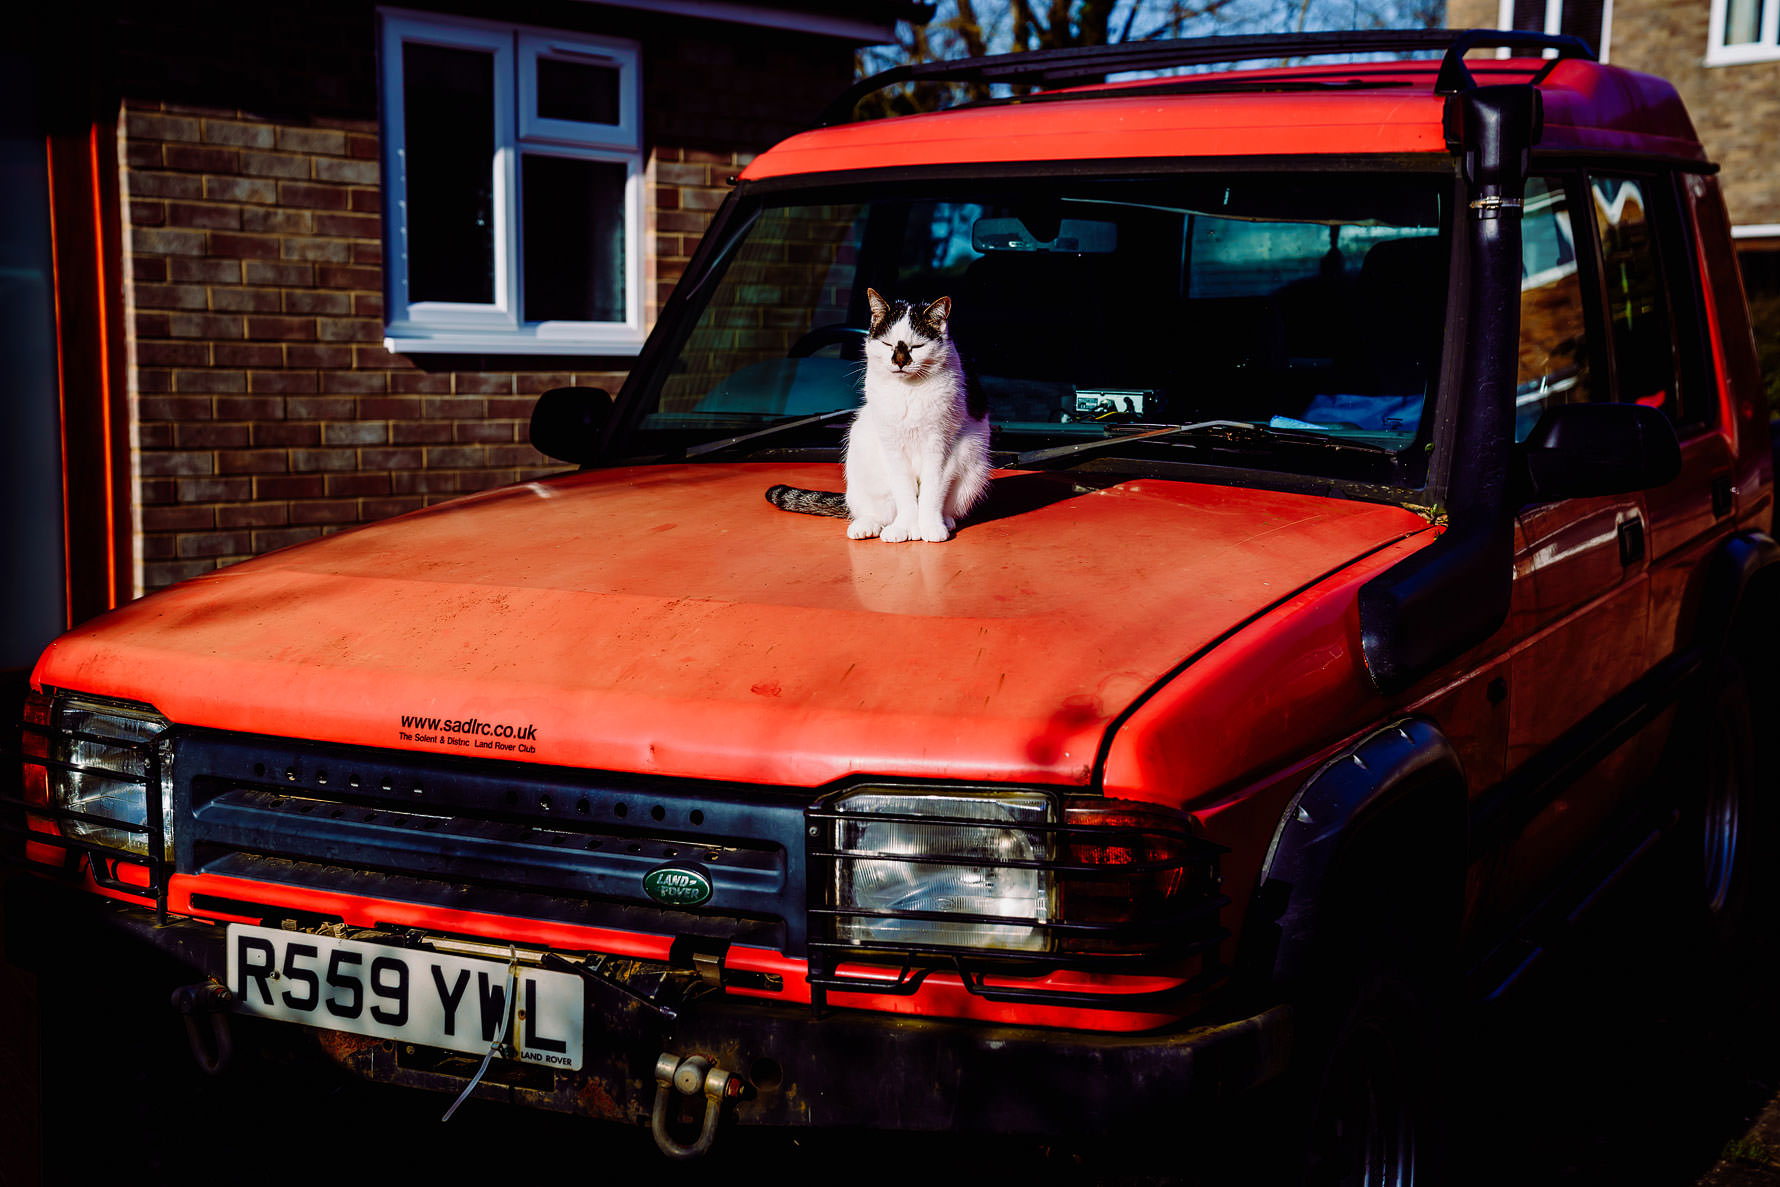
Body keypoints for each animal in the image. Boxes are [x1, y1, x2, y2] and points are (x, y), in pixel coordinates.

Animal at [765, 290, 989, 544]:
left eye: (917, 346)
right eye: (887, 344)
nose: (899, 361)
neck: (907, 391)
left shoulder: (940, 447)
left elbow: (932, 491)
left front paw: (930, 526)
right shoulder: (892, 446)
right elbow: (904, 492)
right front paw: (905, 527)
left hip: (973, 467)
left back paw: (945, 522)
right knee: (877, 513)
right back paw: (869, 526)